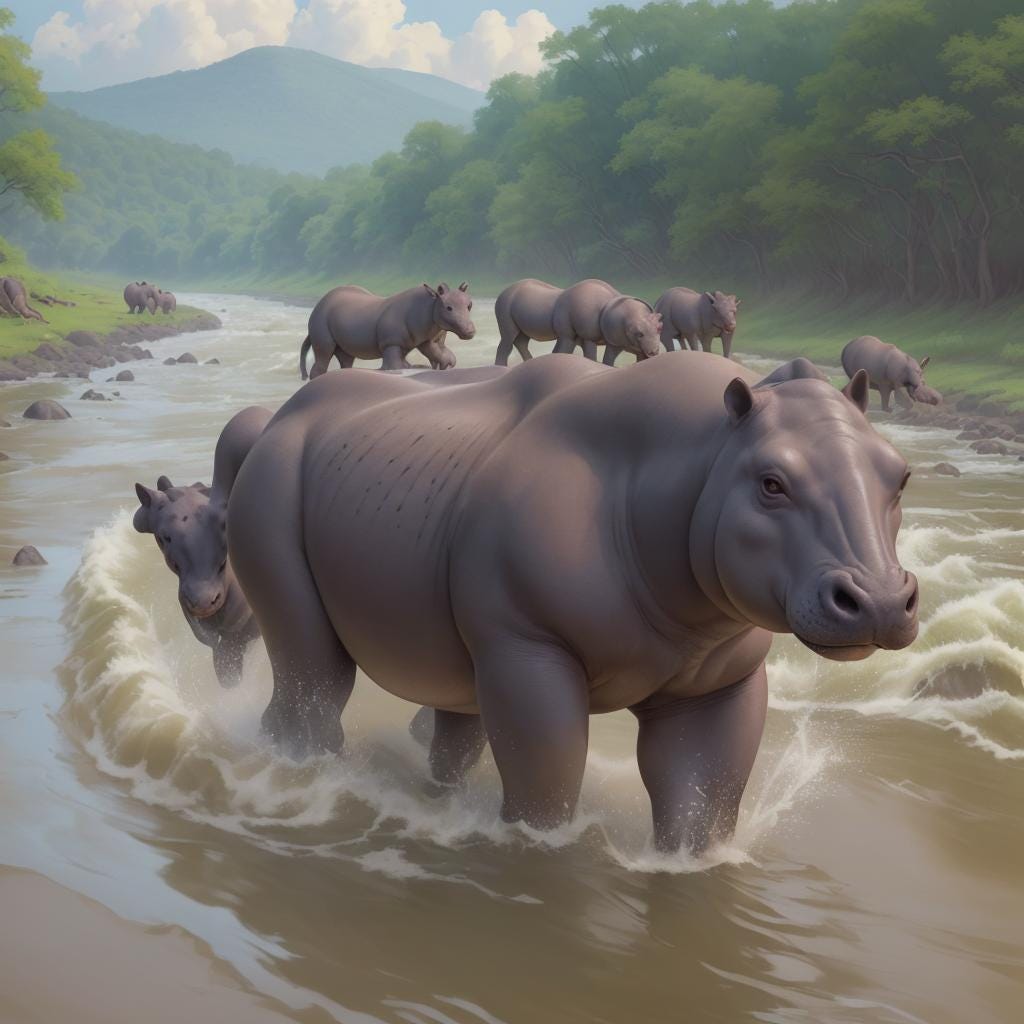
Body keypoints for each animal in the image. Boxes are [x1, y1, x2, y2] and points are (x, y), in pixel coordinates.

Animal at [226, 353, 918, 854]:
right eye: (771, 485)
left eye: (902, 478)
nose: (882, 604)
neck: (702, 460)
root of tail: (276, 419)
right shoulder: (529, 640)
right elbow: (548, 779)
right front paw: (536, 849)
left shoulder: (721, 673)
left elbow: (702, 794)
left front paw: (688, 867)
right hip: (272, 479)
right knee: (316, 668)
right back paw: (299, 772)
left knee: (458, 700)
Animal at [299, 283, 476, 378]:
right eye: (448, 308)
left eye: (470, 306)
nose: (470, 331)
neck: (431, 304)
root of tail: (318, 304)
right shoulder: (391, 342)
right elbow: (395, 365)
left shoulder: (427, 335)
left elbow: (434, 350)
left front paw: (443, 365)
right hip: (320, 317)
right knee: (325, 351)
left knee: (346, 356)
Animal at [494, 278, 663, 365]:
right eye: (638, 334)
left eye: (660, 328)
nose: (654, 352)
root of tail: (502, 292)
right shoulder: (584, 336)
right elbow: (589, 356)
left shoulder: (618, 339)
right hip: (504, 303)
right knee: (508, 337)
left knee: (521, 339)